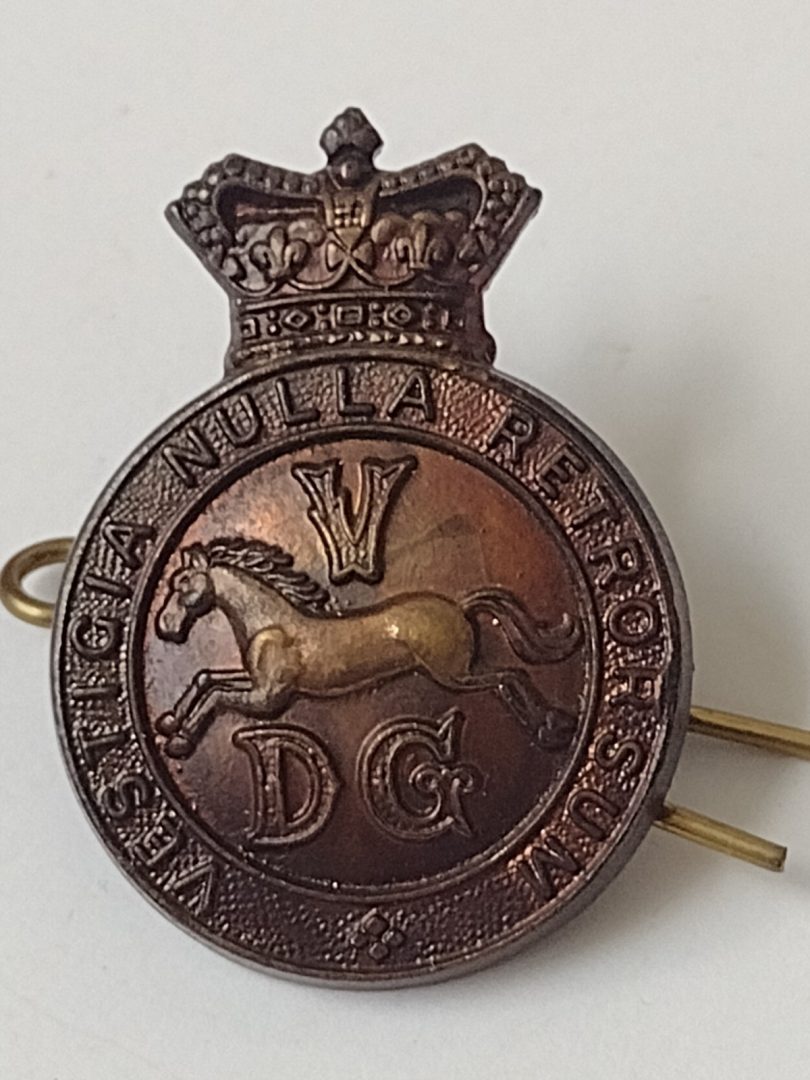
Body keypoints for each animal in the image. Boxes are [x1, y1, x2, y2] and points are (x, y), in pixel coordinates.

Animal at [154, 537, 582, 759]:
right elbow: (207, 678)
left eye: (182, 585)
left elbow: (217, 696)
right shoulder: (254, 681)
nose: (165, 627)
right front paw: (170, 720)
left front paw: (179, 738)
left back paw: (551, 726)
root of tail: (460, 606)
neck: (269, 622)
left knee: (509, 676)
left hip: (453, 674)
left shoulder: (269, 698)